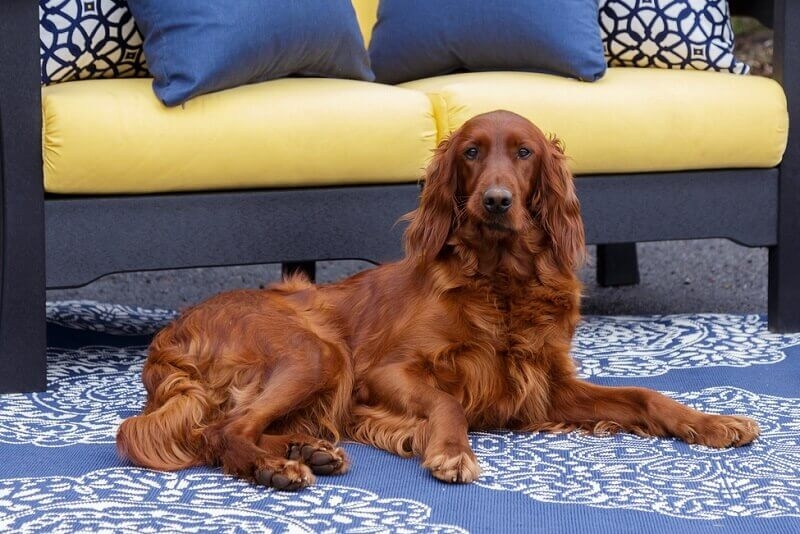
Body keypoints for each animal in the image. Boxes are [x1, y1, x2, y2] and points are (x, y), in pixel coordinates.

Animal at [115, 111, 760, 492]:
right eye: (471, 152)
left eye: (524, 153)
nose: (497, 201)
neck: (499, 282)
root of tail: (172, 331)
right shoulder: (384, 372)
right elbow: (448, 400)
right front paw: (451, 451)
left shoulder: (548, 387)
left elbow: (646, 396)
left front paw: (711, 421)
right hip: (318, 353)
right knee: (220, 430)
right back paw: (277, 465)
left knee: (227, 428)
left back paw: (309, 449)